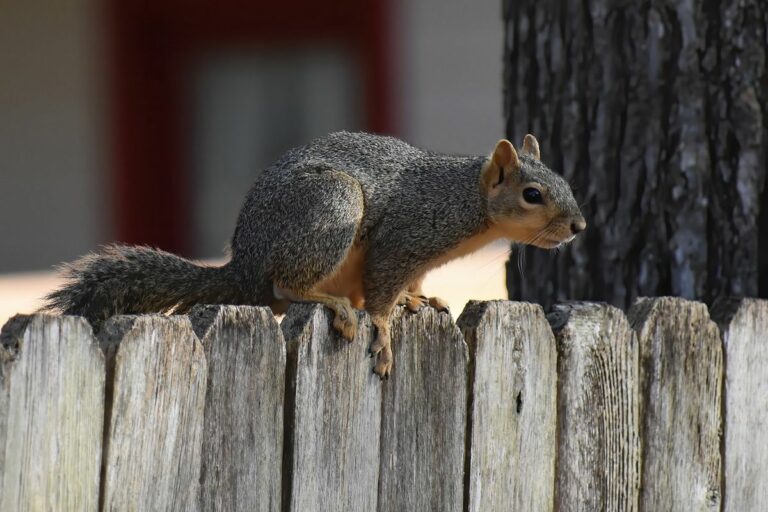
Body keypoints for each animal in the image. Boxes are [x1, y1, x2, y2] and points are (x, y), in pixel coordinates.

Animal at [45, 131, 584, 380]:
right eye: (533, 194)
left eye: (565, 181)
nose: (579, 226)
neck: (465, 200)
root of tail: (243, 268)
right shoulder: (405, 237)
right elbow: (383, 289)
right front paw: (384, 331)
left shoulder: (418, 258)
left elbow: (409, 284)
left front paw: (419, 300)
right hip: (331, 206)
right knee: (286, 285)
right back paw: (334, 305)